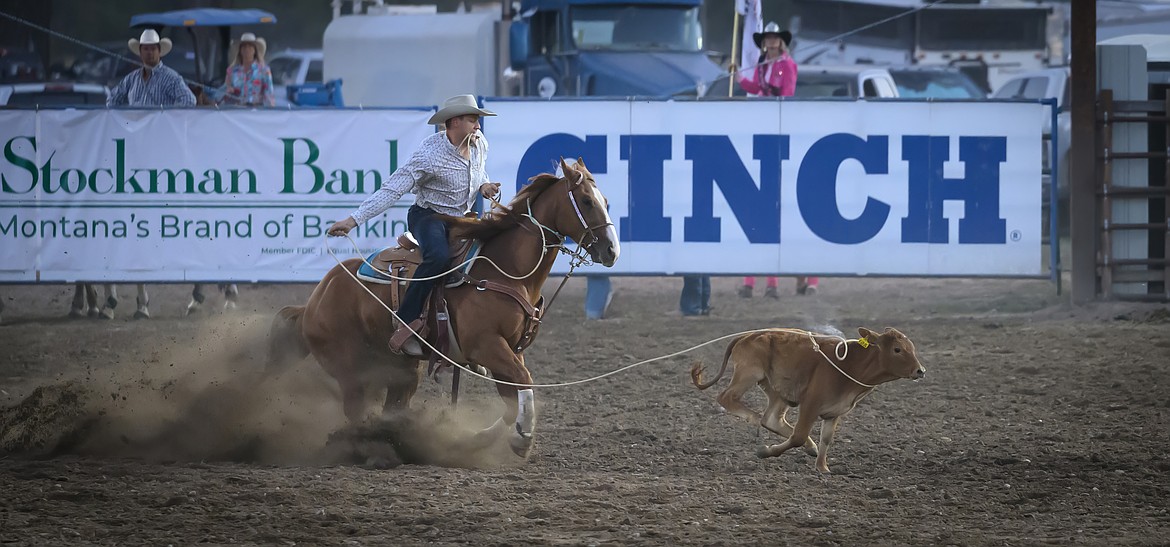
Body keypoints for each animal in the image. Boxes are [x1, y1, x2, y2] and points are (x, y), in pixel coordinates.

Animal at [266, 157, 622, 458]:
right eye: (587, 201)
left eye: (605, 201)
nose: (612, 250)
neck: (506, 270)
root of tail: (314, 300)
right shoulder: (486, 346)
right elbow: (524, 380)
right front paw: (523, 437)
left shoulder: (510, 349)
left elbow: (512, 397)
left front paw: (481, 439)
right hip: (351, 368)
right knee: (357, 410)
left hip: (402, 370)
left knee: (390, 407)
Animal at [687, 327, 926, 472]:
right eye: (897, 349)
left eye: (912, 348)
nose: (920, 371)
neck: (851, 365)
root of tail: (748, 336)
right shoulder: (810, 405)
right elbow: (798, 436)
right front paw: (767, 451)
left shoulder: (834, 412)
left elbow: (826, 439)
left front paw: (822, 468)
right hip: (749, 373)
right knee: (728, 398)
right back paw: (753, 419)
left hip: (777, 389)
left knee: (771, 418)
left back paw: (809, 446)